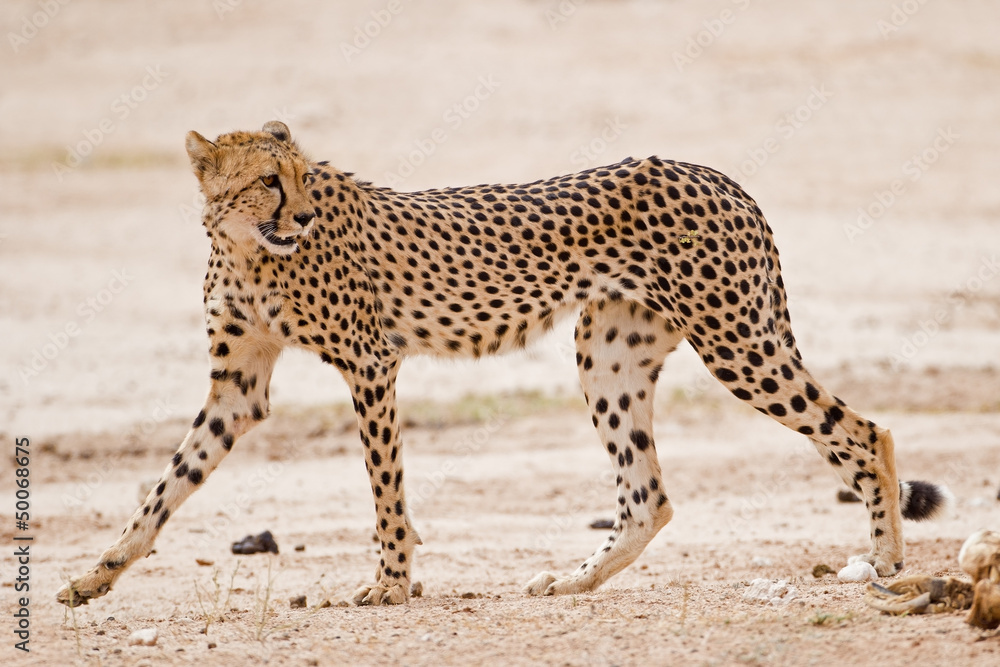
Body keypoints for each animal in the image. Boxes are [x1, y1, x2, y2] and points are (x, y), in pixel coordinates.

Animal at [57, 120, 949, 607]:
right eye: (268, 180)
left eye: (305, 177)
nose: (302, 214)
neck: (248, 248)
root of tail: (719, 174)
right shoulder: (236, 387)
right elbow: (165, 485)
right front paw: (95, 575)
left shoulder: (370, 362)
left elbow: (385, 488)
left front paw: (389, 583)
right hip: (608, 352)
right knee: (649, 496)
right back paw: (573, 581)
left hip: (735, 341)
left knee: (862, 431)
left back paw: (887, 561)